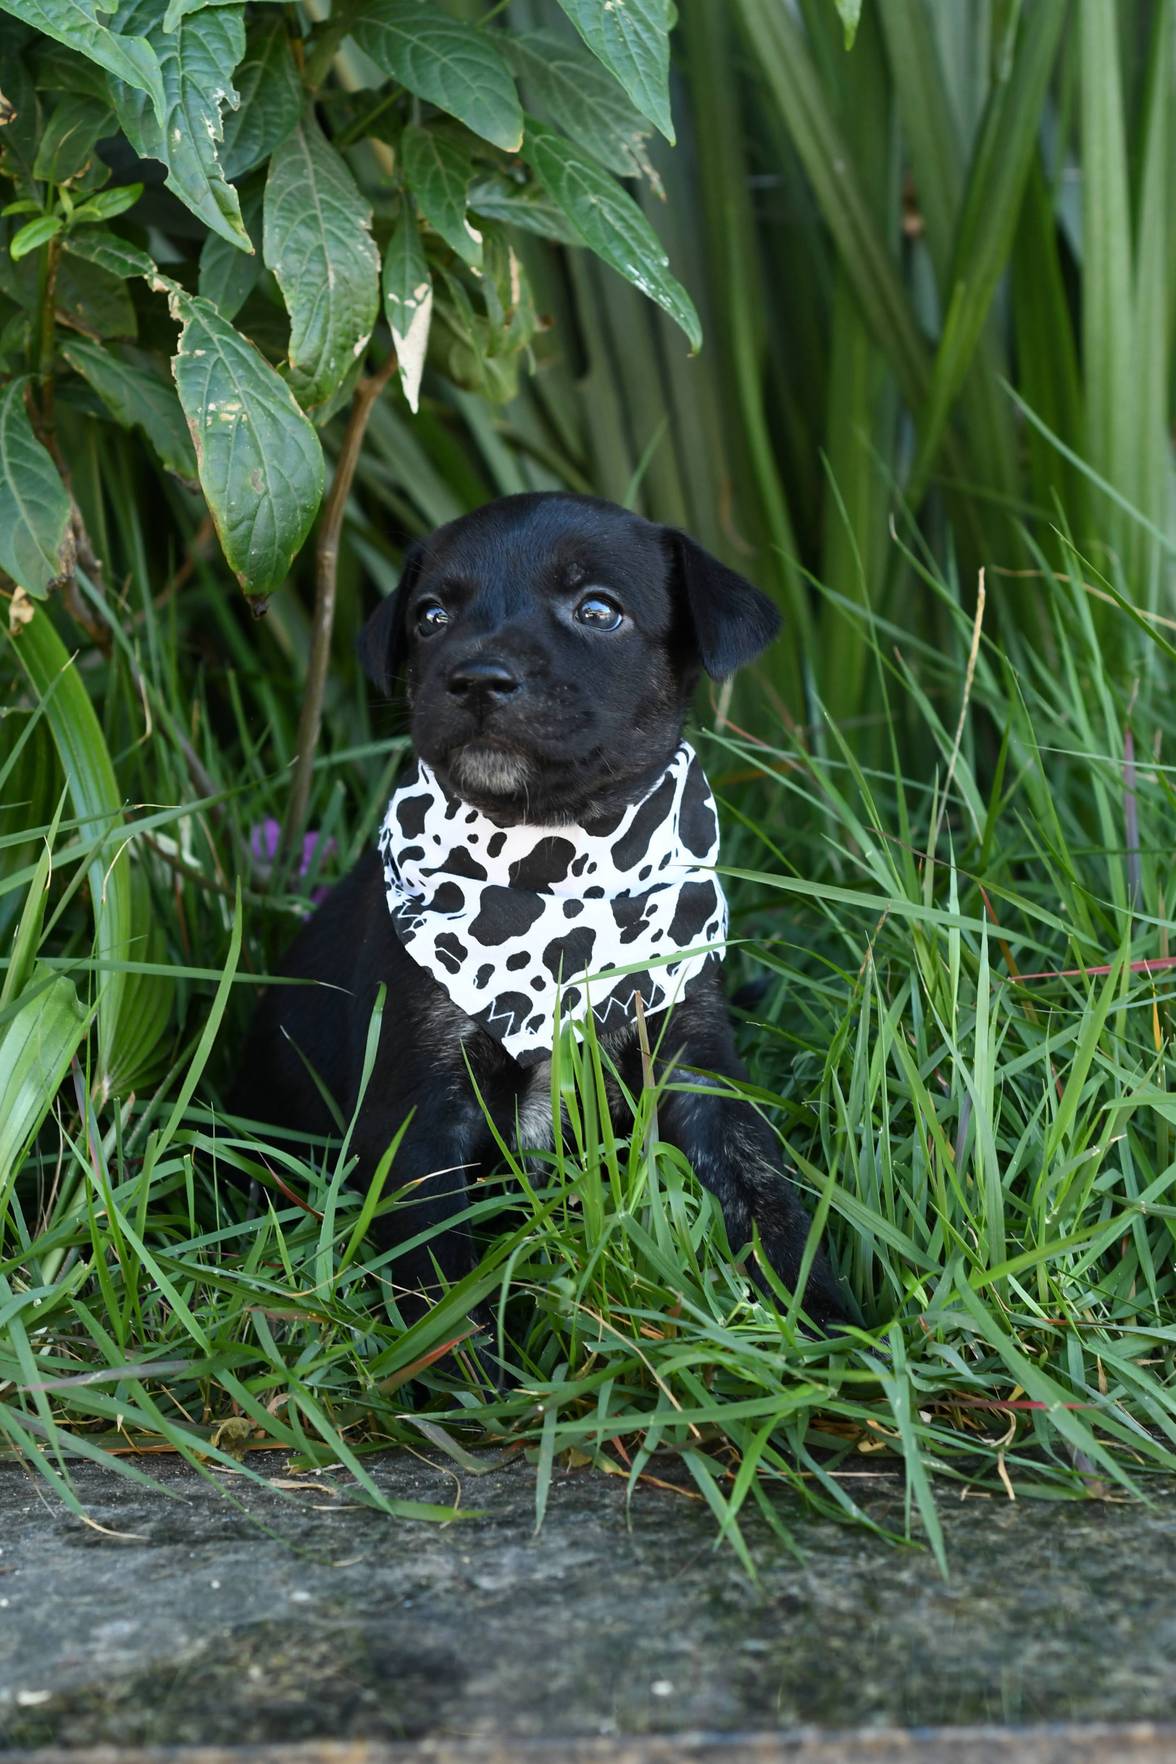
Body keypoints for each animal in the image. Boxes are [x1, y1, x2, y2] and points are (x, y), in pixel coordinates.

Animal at [237, 492, 846, 1324]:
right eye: (430, 618)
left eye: (598, 610)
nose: (477, 678)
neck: (552, 861)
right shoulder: (423, 1117)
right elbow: (440, 1280)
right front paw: (459, 1361)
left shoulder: (696, 1067)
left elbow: (763, 1189)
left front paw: (829, 1317)